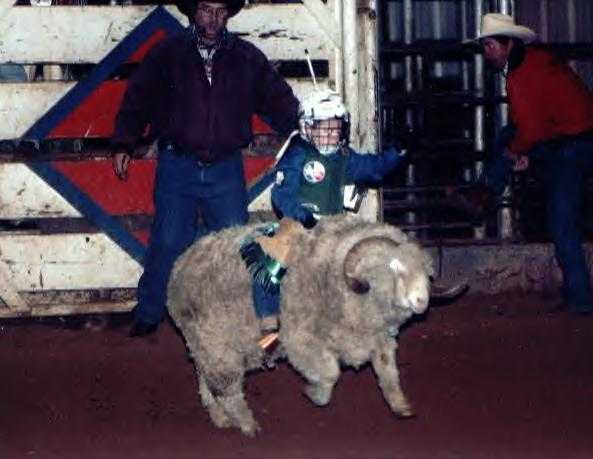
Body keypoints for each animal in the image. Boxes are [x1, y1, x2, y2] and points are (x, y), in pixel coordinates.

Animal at [165, 214, 430, 436]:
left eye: (425, 271)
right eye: (394, 267)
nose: (423, 301)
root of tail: (177, 270)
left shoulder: (377, 338)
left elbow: (388, 373)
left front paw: (400, 405)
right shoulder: (300, 341)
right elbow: (330, 374)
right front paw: (314, 393)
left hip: (205, 347)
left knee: (207, 382)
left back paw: (220, 418)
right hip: (217, 346)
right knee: (228, 391)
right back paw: (247, 424)